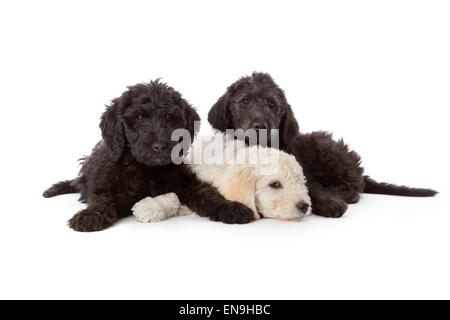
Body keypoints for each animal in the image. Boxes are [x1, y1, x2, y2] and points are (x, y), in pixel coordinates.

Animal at [44, 79, 255, 230]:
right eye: (139, 117)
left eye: (170, 117)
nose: (159, 146)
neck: (144, 168)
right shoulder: (104, 180)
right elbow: (101, 197)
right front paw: (91, 215)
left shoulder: (184, 180)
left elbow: (207, 193)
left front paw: (230, 207)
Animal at [208, 72, 436, 218]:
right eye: (245, 101)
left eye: (272, 104)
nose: (260, 125)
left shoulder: (301, 171)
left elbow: (312, 187)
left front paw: (328, 203)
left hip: (327, 149)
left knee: (354, 186)